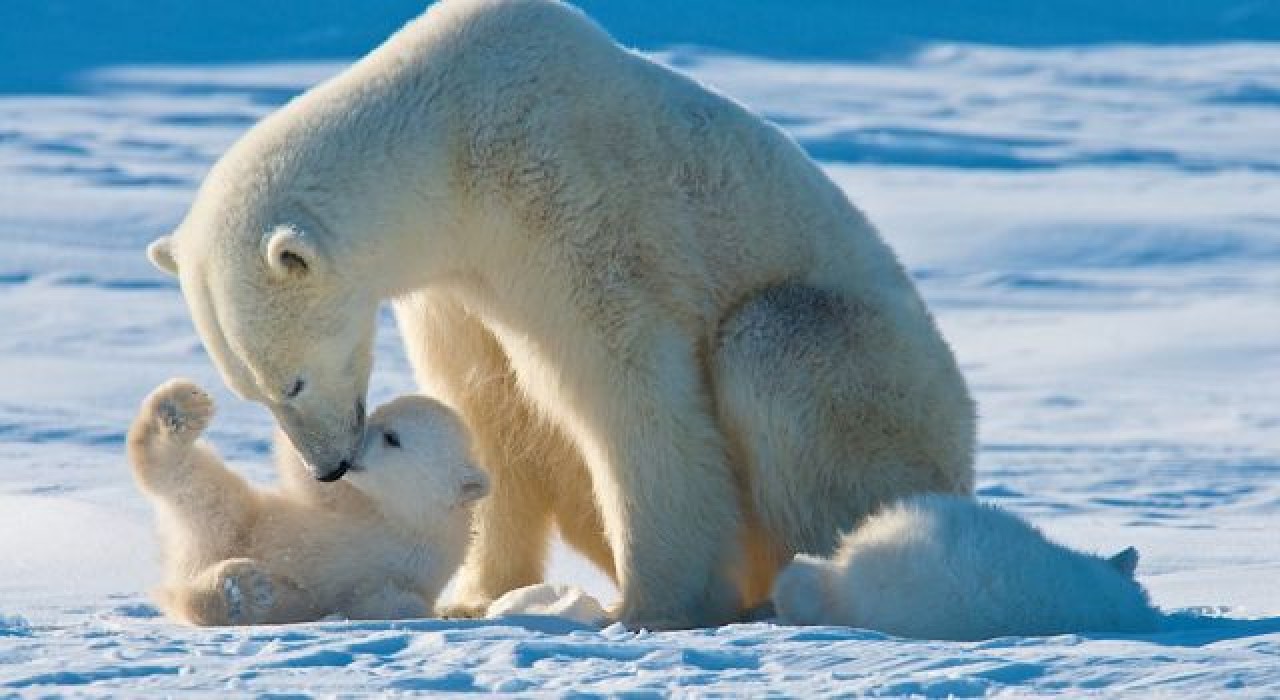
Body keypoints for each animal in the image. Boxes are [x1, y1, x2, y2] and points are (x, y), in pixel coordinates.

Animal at [145, 0, 972, 629]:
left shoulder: (568, 202)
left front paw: (646, 609)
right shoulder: (454, 280)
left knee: (777, 349)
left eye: (290, 382)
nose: (328, 468)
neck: (453, 140)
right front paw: (475, 597)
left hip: (884, 388)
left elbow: (631, 392)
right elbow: (490, 402)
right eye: (250, 389)